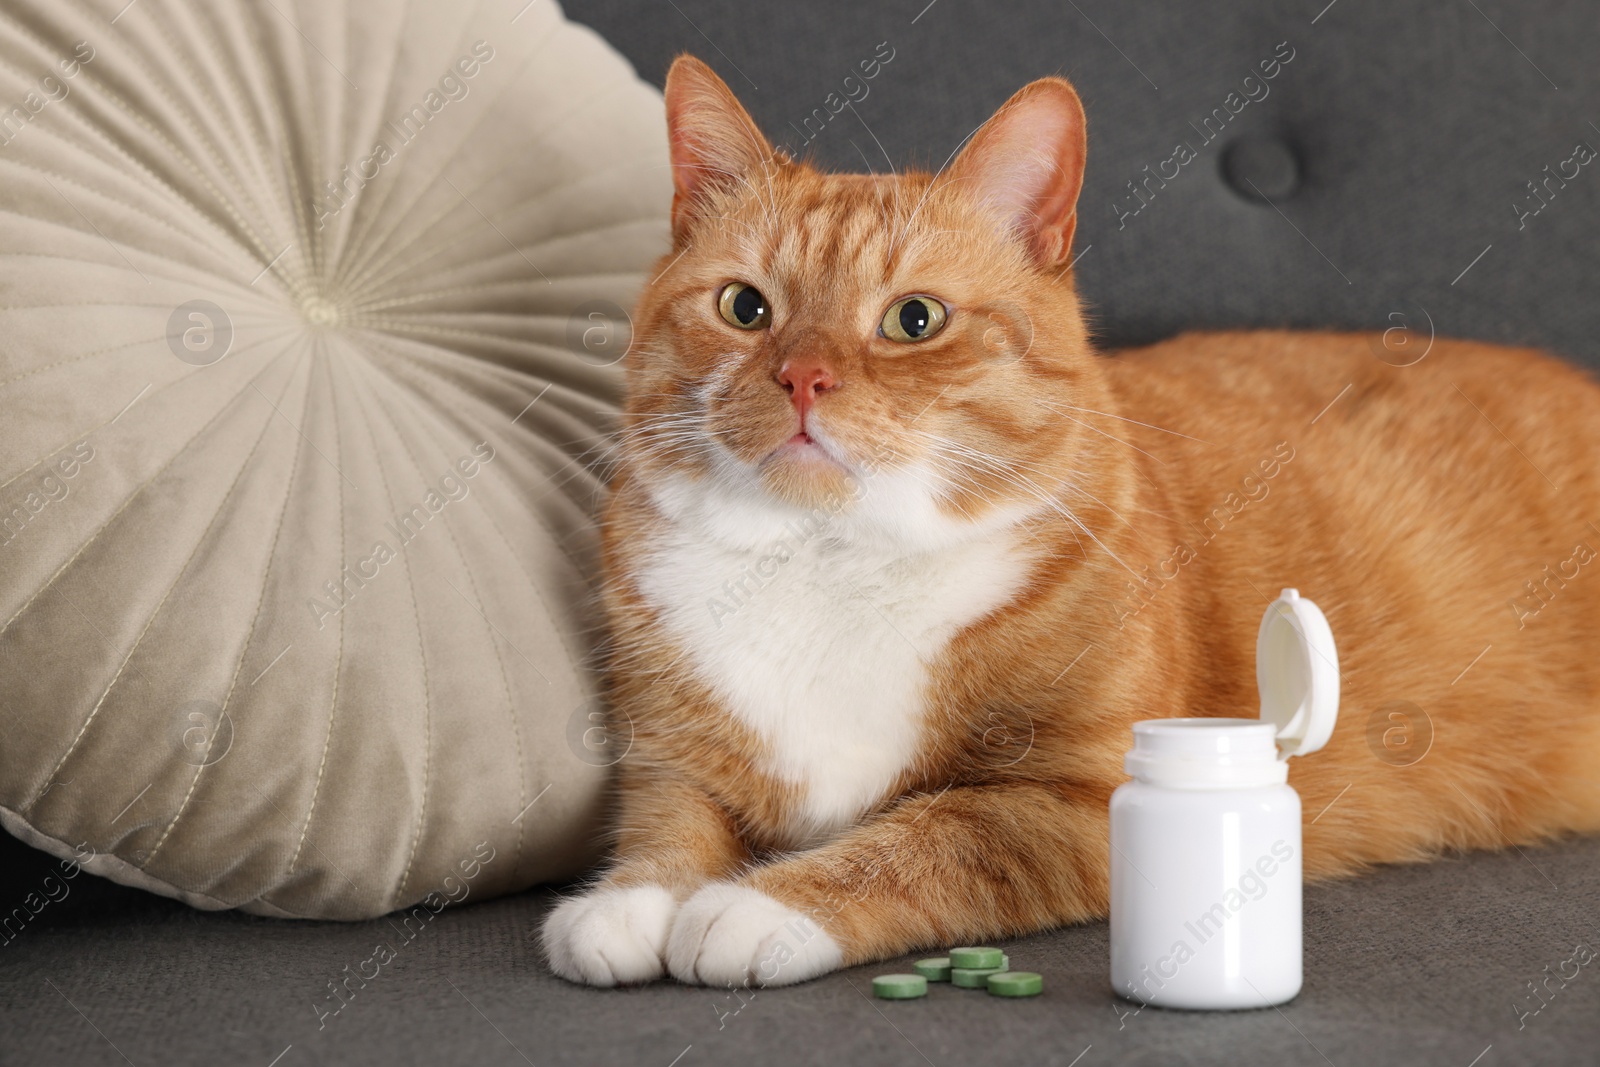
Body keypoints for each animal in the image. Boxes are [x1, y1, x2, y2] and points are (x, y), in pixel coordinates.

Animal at [544, 54, 1600, 991]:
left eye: (914, 319)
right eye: (744, 306)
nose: (803, 376)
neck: (831, 560)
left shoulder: (1074, 801)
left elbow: (928, 837)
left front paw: (759, 904)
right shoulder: (671, 757)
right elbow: (668, 822)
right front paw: (630, 902)